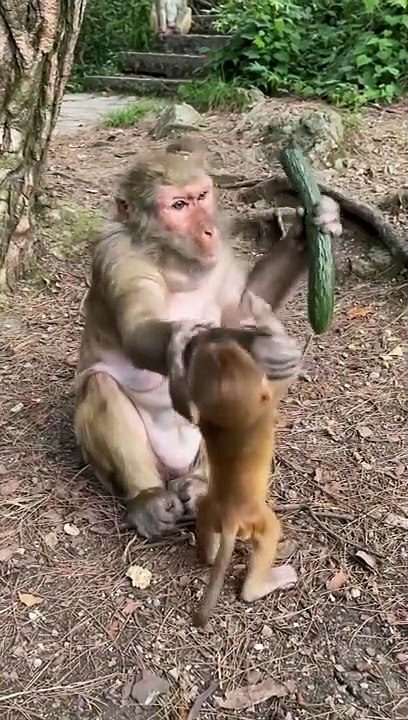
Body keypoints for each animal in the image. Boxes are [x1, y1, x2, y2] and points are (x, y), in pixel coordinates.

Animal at [74, 145, 342, 539]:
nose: (208, 228)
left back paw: (204, 485)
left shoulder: (220, 256)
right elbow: (140, 334)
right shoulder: (118, 258)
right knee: (100, 385)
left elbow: (244, 304)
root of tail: (178, 468)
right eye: (178, 206)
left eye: (201, 196)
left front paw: (312, 224)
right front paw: (257, 347)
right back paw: (148, 499)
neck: (171, 261)